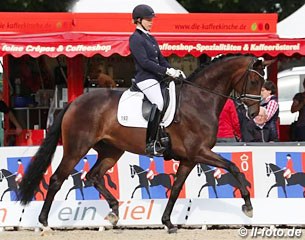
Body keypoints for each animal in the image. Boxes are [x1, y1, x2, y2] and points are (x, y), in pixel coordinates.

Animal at [18, 54, 270, 232]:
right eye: (254, 80)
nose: (255, 113)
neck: (200, 100)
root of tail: (74, 102)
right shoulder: (200, 151)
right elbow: (234, 167)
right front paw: (248, 207)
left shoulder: (189, 158)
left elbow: (176, 188)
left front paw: (168, 222)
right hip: (76, 148)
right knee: (56, 179)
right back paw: (44, 223)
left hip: (111, 150)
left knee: (94, 176)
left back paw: (114, 212)